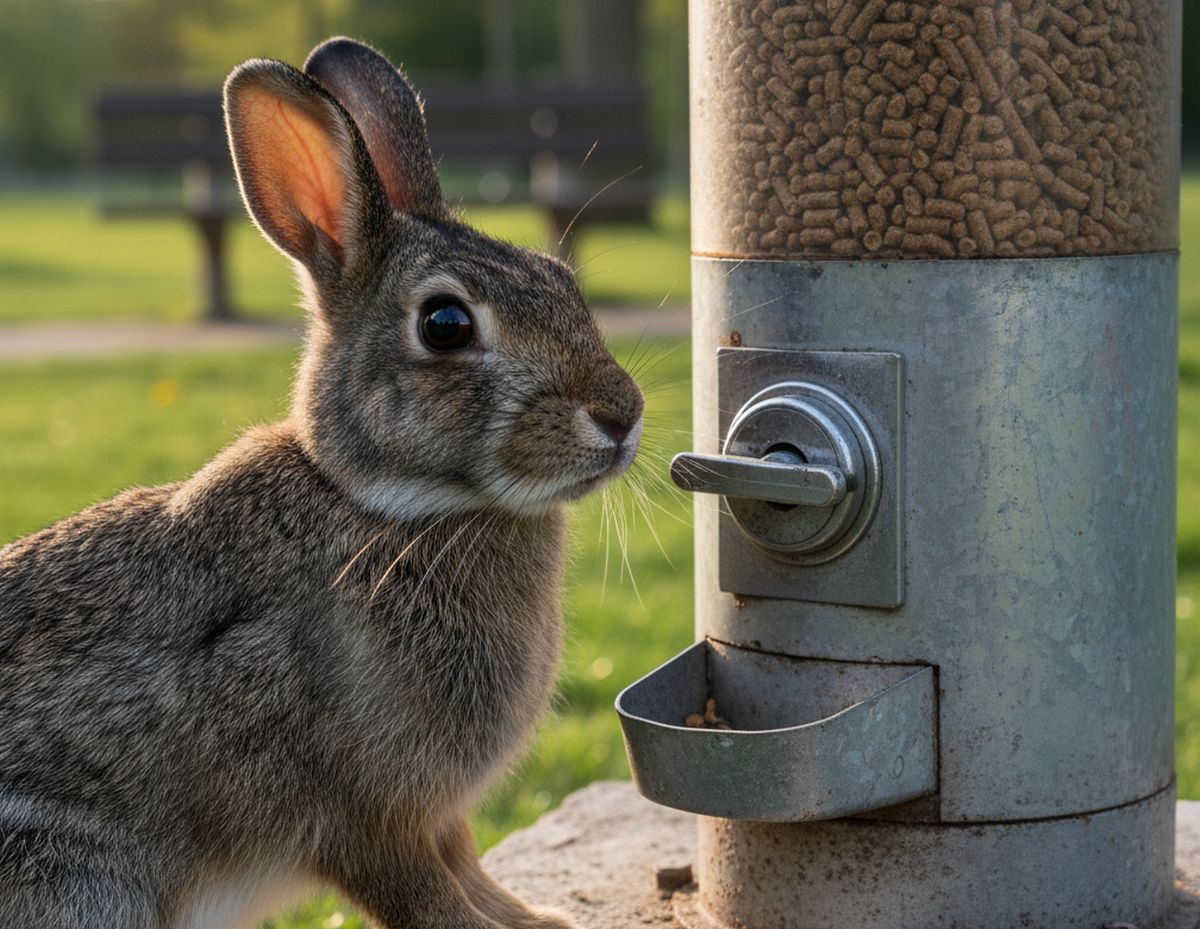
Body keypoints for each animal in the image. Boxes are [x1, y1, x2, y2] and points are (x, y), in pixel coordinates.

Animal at [0, 36, 644, 929]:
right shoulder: (361, 814)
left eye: (560, 277)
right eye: (446, 325)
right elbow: (428, 895)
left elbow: (470, 866)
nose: (623, 415)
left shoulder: (433, 814)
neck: (391, 506)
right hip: (74, 876)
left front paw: (537, 918)